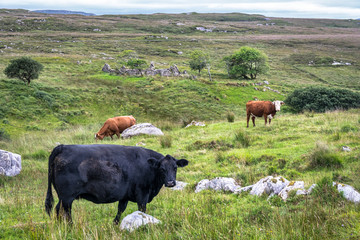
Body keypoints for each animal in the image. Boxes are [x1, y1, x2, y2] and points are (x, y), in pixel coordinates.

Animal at [45, 143, 188, 224]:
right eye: (162, 169)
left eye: (175, 168)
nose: (171, 182)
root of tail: (63, 147)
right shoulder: (142, 194)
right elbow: (142, 210)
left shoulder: (124, 195)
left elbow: (120, 209)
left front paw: (115, 223)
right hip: (67, 197)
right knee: (65, 212)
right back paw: (70, 227)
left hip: (62, 197)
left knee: (57, 210)